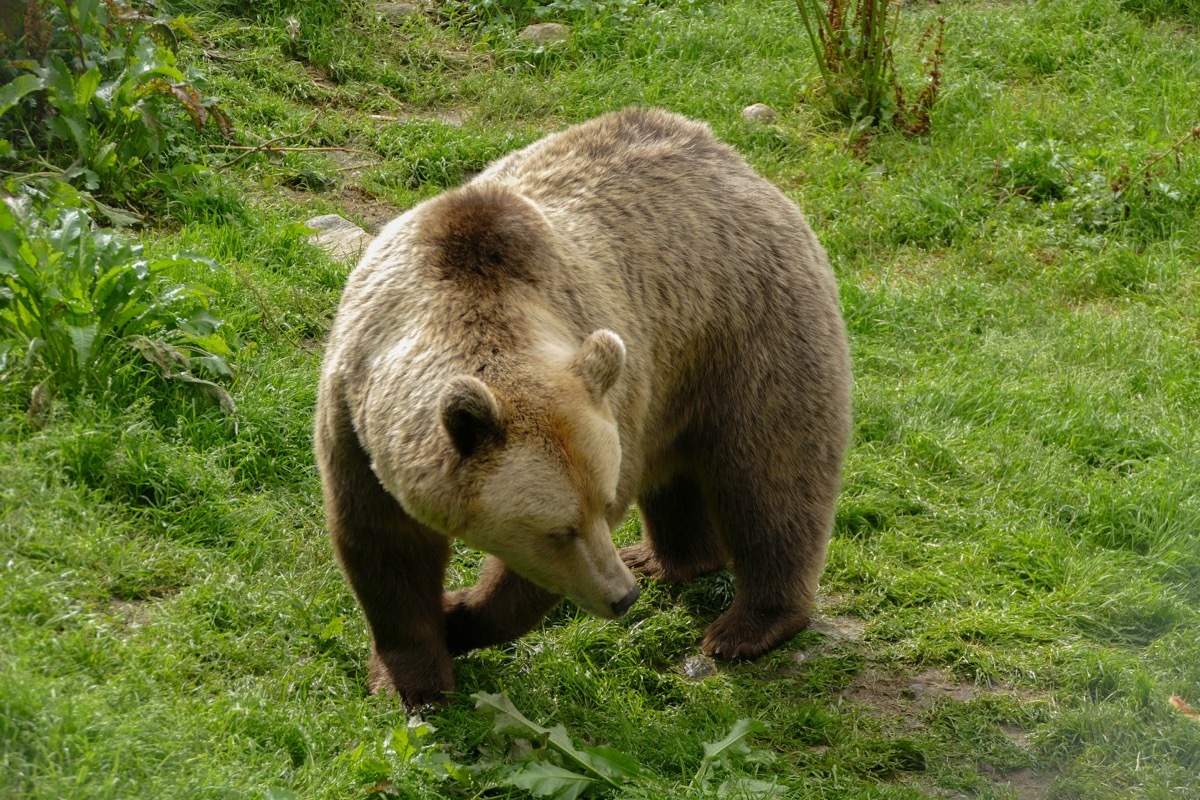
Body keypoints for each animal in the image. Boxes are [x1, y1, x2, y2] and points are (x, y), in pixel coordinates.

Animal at [314, 107, 849, 705]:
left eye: (605, 505)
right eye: (558, 528)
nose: (622, 596)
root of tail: (733, 158)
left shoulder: (613, 385)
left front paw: (458, 617)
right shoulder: (354, 417)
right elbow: (384, 548)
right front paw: (414, 677)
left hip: (749, 328)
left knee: (772, 475)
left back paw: (749, 625)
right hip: (677, 372)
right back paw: (665, 560)